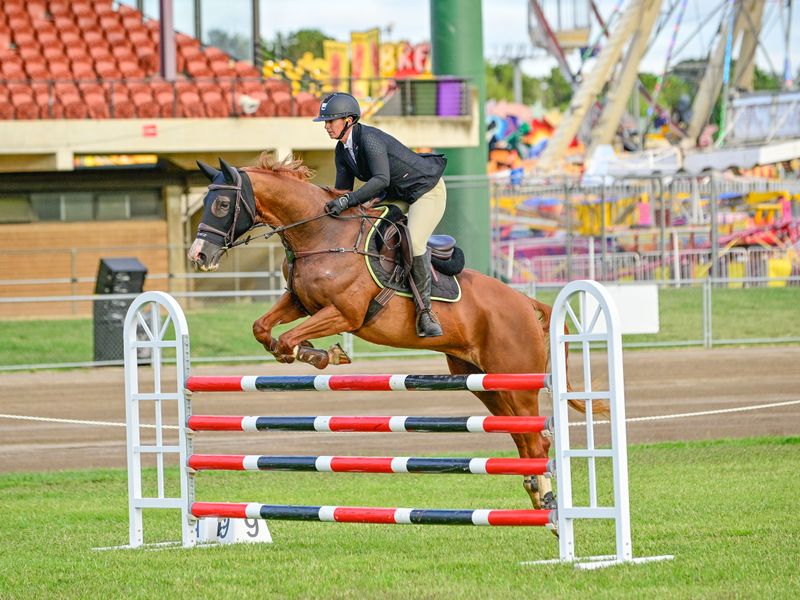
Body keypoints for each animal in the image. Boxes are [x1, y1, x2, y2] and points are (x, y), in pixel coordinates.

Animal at [187, 154, 587, 511]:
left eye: (222, 203)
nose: (198, 256)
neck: (321, 233)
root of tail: (526, 304)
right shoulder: (300, 303)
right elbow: (262, 328)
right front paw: (310, 352)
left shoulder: (345, 314)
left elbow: (289, 338)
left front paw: (320, 354)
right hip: (485, 383)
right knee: (524, 437)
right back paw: (537, 494)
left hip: (515, 382)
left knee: (537, 442)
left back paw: (548, 500)